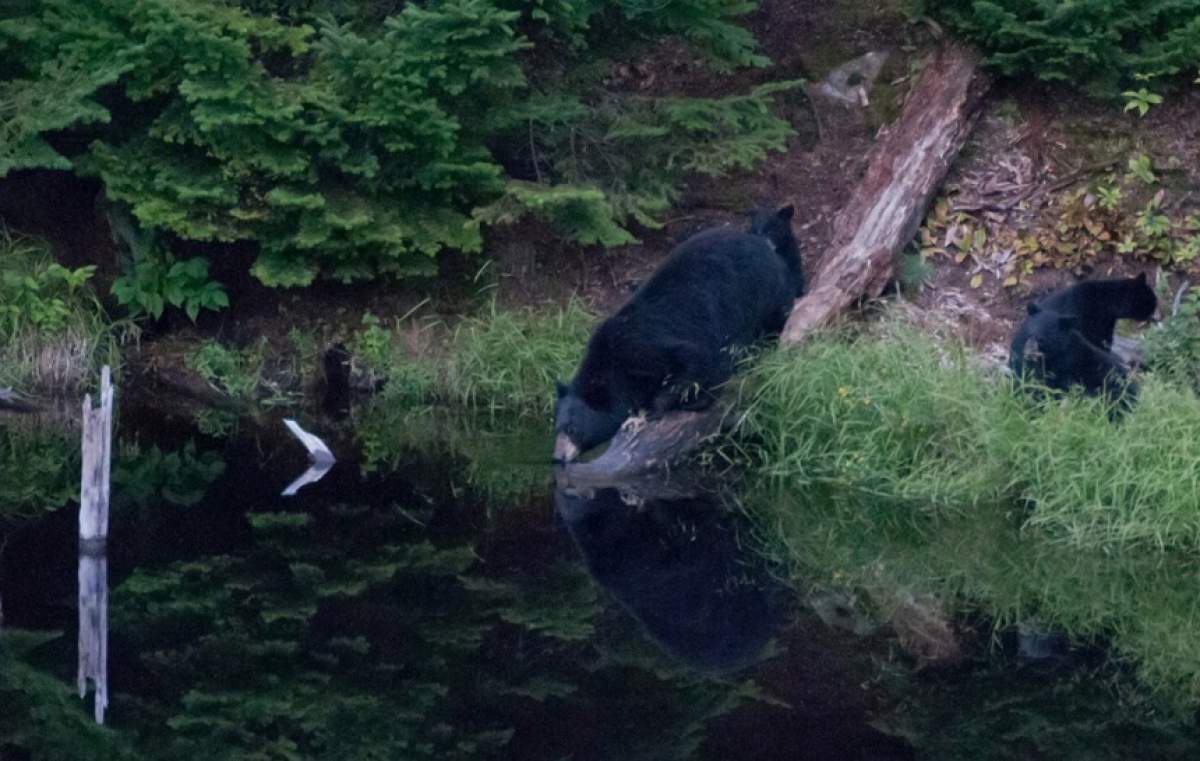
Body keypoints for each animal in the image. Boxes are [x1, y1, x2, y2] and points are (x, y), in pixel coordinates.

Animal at [554, 204, 806, 458]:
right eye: (556, 428)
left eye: (572, 428)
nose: (558, 457)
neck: (613, 365)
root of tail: (769, 251)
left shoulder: (643, 348)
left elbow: (694, 363)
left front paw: (666, 405)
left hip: (763, 295)